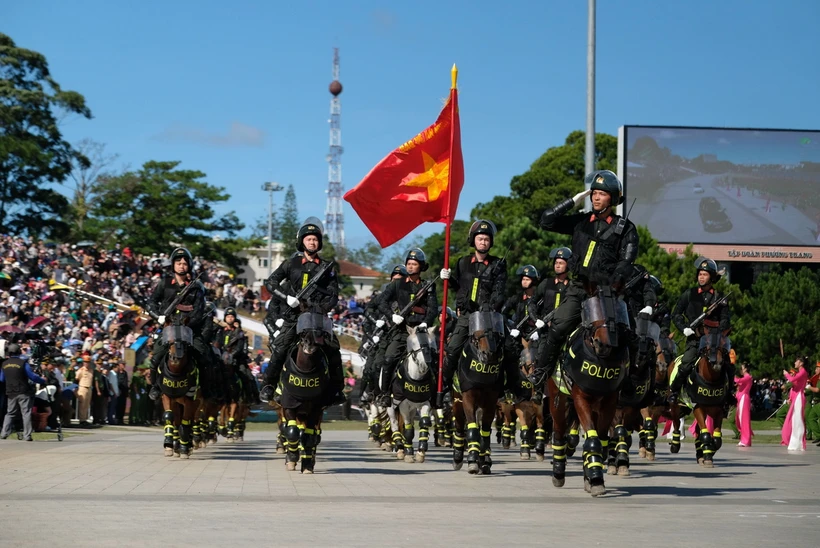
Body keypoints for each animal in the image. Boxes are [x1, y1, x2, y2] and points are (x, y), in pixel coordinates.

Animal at [452, 312, 502, 476]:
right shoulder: (468, 400)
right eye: (476, 332)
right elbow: (472, 430)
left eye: (496, 330)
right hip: (457, 403)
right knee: (460, 427)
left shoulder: (491, 403)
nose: (489, 354)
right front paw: (473, 461)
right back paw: (458, 457)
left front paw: (483, 461)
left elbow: (485, 432)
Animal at [548, 286, 632, 496]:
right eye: (592, 309)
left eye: (618, 310)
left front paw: (594, 478)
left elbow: (600, 440)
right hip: (558, 402)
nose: (604, 344)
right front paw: (594, 479)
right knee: (559, 433)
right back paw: (558, 473)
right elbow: (592, 440)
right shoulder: (580, 399)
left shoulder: (610, 402)